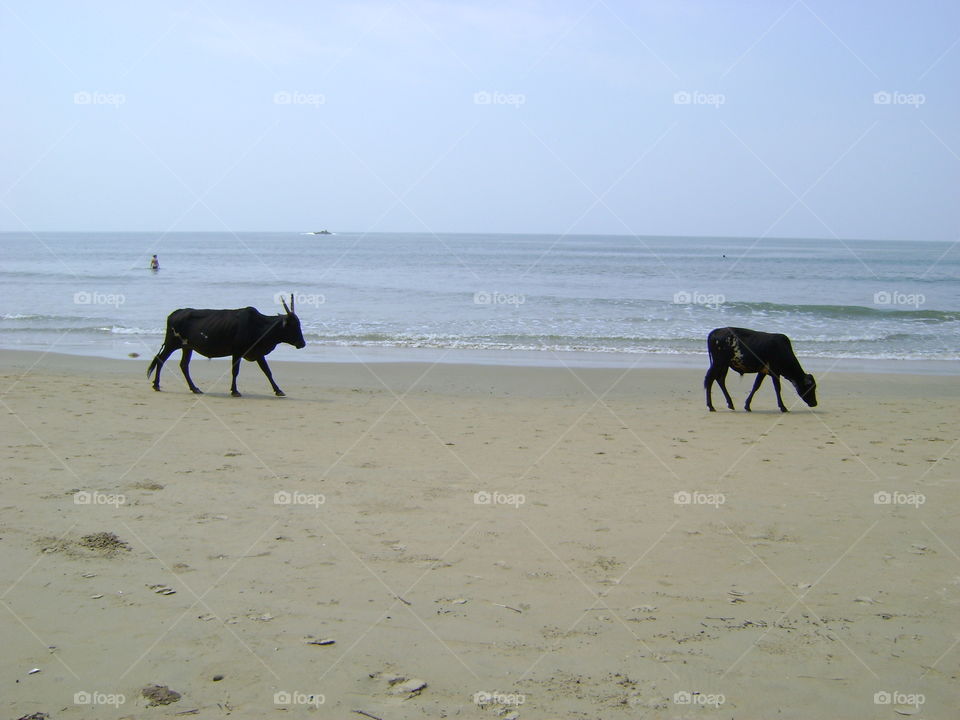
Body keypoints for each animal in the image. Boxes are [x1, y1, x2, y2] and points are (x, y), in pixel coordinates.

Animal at [148, 294, 306, 400]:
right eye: (293, 326)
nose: (302, 343)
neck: (259, 326)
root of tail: (175, 313)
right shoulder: (237, 352)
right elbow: (235, 371)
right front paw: (235, 391)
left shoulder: (258, 353)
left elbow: (267, 371)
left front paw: (278, 390)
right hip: (171, 344)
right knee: (161, 359)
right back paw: (156, 385)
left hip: (187, 347)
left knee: (183, 365)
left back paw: (195, 388)